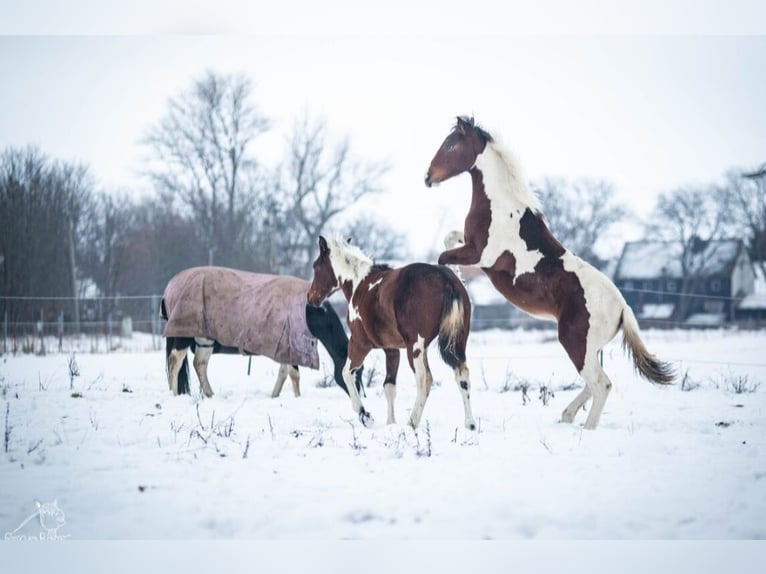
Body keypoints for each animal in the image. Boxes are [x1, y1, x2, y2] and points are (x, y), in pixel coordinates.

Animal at [160, 268, 364, 400]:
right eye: (354, 373)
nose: (361, 395)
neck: (311, 311)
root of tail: (169, 288)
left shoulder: (284, 346)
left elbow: (283, 373)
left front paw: (275, 396)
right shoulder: (291, 344)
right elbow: (294, 374)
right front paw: (298, 398)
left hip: (205, 340)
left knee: (199, 364)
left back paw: (209, 394)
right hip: (184, 334)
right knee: (175, 361)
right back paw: (174, 393)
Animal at [308, 236, 476, 430]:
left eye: (315, 266)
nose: (310, 298)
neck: (360, 284)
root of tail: (447, 279)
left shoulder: (359, 343)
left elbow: (345, 373)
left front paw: (364, 415)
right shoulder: (391, 350)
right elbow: (389, 386)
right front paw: (390, 423)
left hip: (415, 349)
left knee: (424, 380)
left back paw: (412, 422)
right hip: (456, 344)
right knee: (462, 376)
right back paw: (470, 424)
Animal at [424, 118, 676, 432]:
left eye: (450, 145)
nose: (428, 176)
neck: (502, 207)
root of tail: (622, 307)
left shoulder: (482, 255)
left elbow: (443, 255)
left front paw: (456, 278)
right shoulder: (469, 243)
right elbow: (448, 238)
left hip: (575, 343)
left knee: (601, 384)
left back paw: (586, 428)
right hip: (588, 349)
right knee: (592, 384)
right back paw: (567, 415)